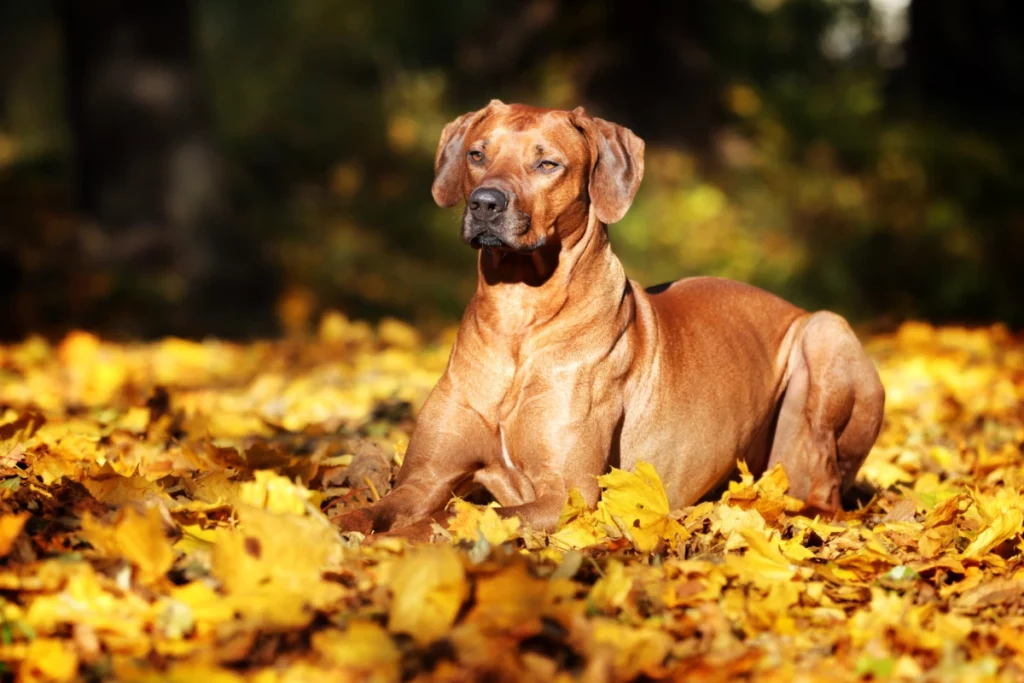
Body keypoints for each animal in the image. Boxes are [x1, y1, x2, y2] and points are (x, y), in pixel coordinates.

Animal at [331, 101, 884, 536]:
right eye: (477, 154)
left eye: (547, 163)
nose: (484, 203)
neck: (518, 318)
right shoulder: (425, 477)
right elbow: (375, 510)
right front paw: (335, 531)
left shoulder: (565, 493)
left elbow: (447, 520)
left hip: (825, 335)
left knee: (825, 493)